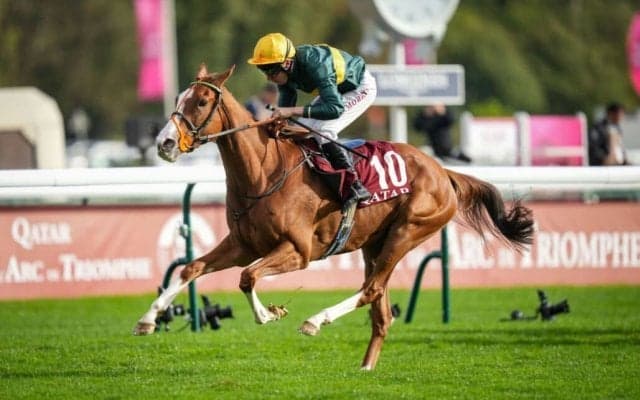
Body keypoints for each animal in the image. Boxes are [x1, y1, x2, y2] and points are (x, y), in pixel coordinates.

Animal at [133, 64, 534, 370]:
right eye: (177, 99)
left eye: (201, 101)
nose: (164, 143)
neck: (263, 171)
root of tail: (442, 171)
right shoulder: (243, 244)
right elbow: (192, 268)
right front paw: (148, 319)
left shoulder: (298, 251)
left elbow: (247, 277)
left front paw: (269, 314)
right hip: (374, 244)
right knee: (381, 310)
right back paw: (365, 367)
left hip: (408, 231)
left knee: (370, 289)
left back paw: (315, 321)